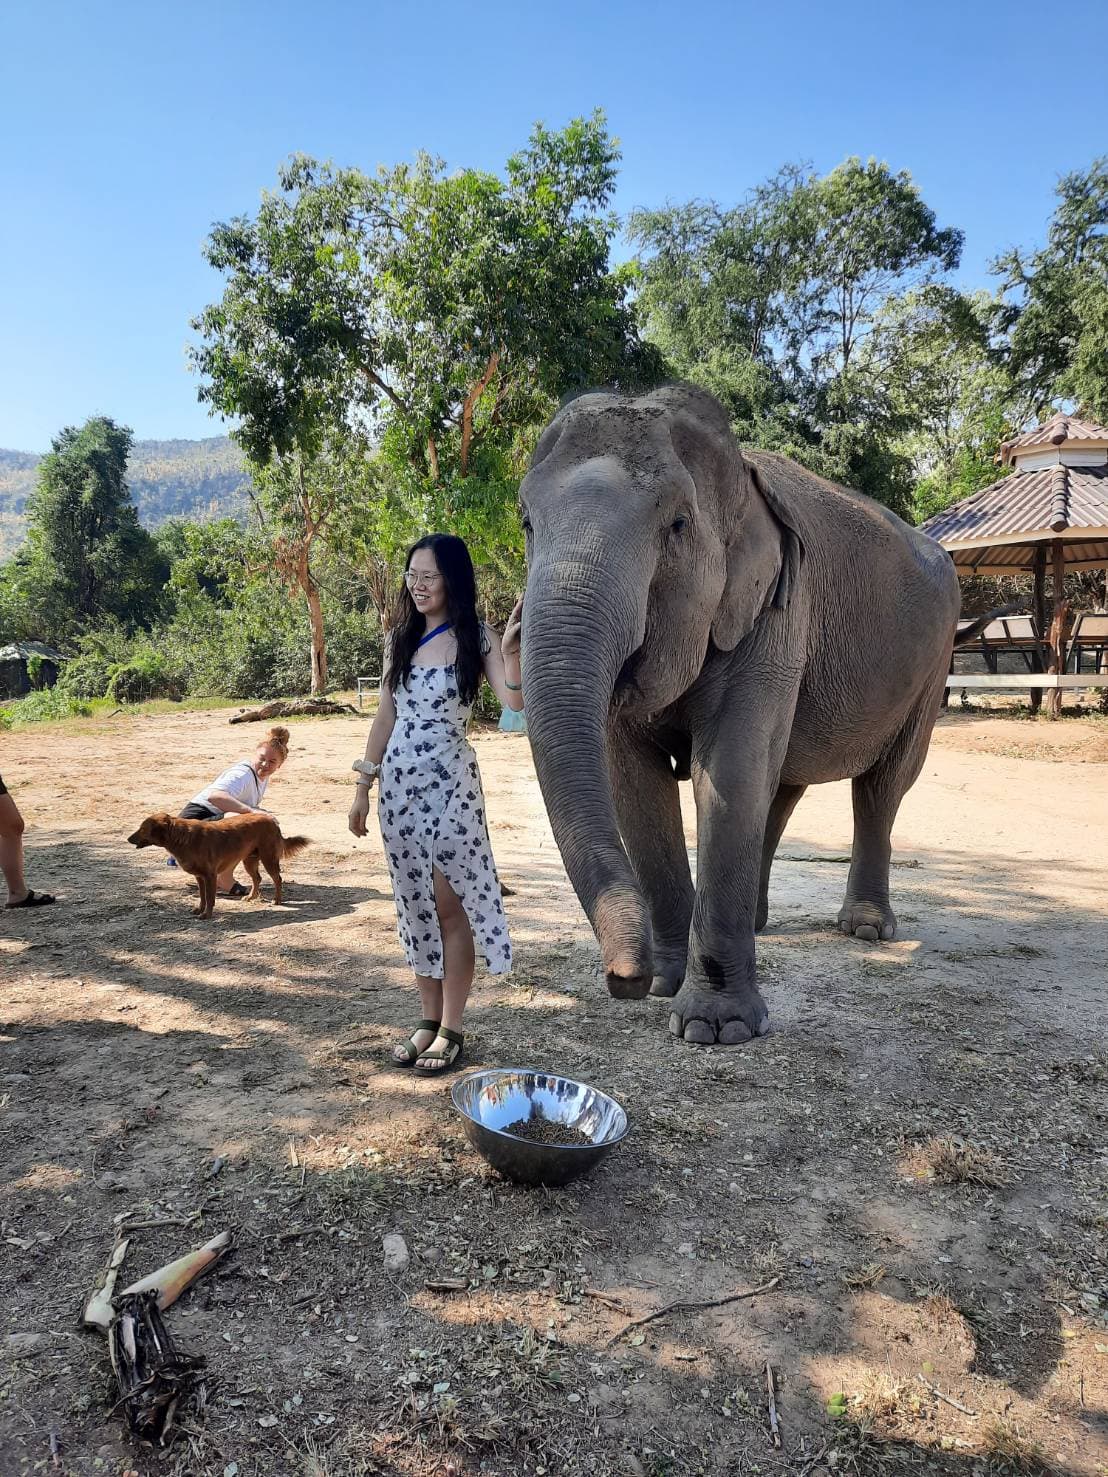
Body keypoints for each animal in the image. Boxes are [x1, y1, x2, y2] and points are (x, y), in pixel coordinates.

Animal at [518, 382, 968, 1046]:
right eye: (527, 522)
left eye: (677, 524)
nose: (624, 978)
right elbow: (634, 784)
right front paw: (667, 982)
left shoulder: (776, 613)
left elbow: (726, 772)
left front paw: (715, 1028)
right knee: (782, 786)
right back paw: (758, 923)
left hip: (933, 666)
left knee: (882, 786)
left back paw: (865, 928)